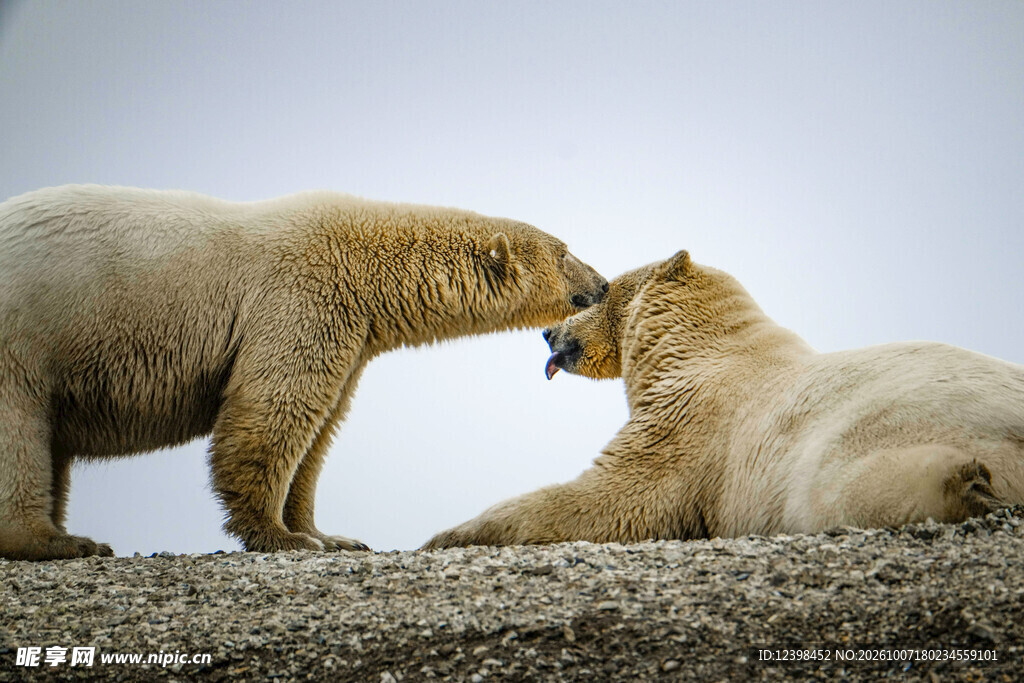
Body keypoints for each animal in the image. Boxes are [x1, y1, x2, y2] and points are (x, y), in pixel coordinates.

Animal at [0, 184, 608, 560]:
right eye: (565, 252)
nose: (603, 284)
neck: (367, 264)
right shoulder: (302, 296)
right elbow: (273, 412)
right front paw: (279, 537)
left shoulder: (352, 334)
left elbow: (320, 429)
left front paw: (328, 535)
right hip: (24, 333)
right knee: (20, 430)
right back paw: (58, 542)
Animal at [424, 250, 1024, 548]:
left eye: (598, 292)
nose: (548, 333)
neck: (698, 346)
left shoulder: (688, 427)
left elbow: (608, 499)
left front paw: (448, 535)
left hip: (853, 444)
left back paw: (966, 485)